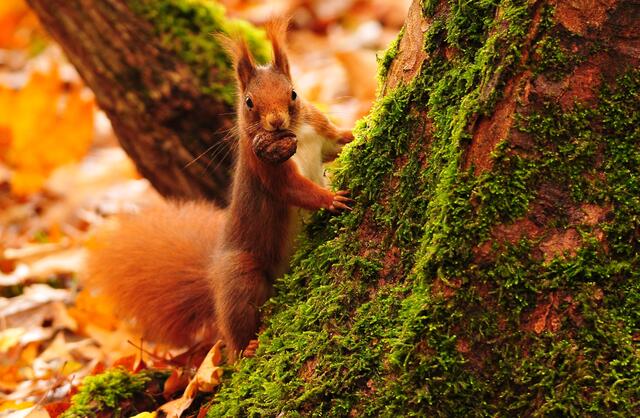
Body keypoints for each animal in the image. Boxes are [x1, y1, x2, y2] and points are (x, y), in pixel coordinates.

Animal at [85, 19, 354, 358]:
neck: (295, 134)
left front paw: (358, 128)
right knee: (234, 326)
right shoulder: (265, 168)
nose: (276, 122)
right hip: (241, 274)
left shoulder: (319, 131)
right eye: (249, 102)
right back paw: (246, 348)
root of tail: (213, 275)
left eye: (293, 93)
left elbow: (337, 144)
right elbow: (294, 189)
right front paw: (330, 199)